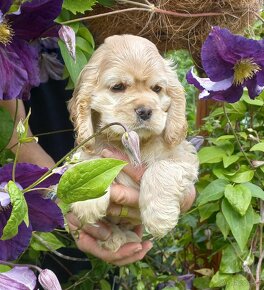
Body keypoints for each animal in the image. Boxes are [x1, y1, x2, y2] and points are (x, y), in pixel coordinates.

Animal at [68, 34, 198, 251]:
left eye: (157, 89)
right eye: (118, 87)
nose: (145, 111)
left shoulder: (184, 155)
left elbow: (162, 168)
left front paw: (159, 218)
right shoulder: (89, 147)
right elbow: (88, 160)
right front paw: (85, 196)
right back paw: (113, 238)